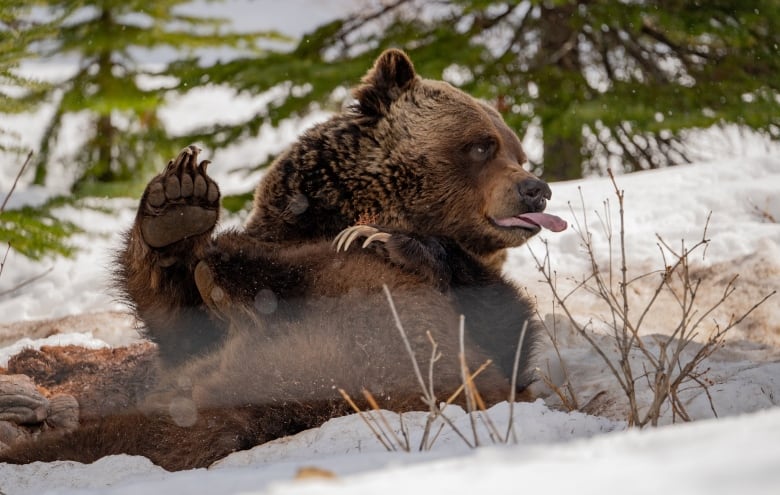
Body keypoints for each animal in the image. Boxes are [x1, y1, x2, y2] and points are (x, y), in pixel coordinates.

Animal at [0, 48, 568, 470]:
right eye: (482, 146)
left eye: (515, 150)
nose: (536, 187)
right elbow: (178, 314)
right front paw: (179, 204)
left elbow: (501, 320)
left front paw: (382, 238)